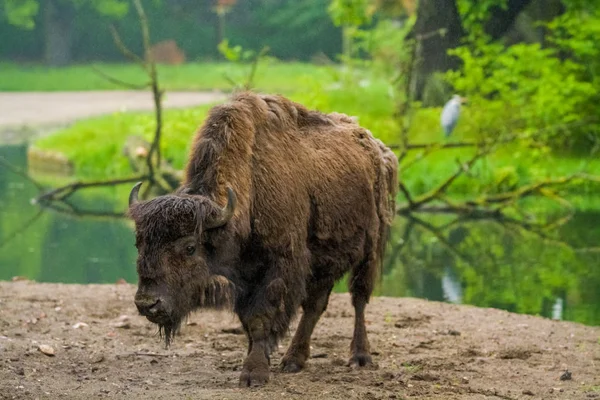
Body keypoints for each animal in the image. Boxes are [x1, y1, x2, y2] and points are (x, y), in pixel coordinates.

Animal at [127, 92, 398, 386]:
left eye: (190, 247)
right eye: (139, 243)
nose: (147, 303)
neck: (251, 185)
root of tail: (378, 149)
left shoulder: (278, 267)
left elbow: (260, 318)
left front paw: (253, 373)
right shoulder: (245, 277)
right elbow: (248, 322)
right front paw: (259, 359)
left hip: (369, 250)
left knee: (358, 298)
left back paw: (360, 358)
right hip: (324, 259)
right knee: (315, 305)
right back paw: (293, 360)